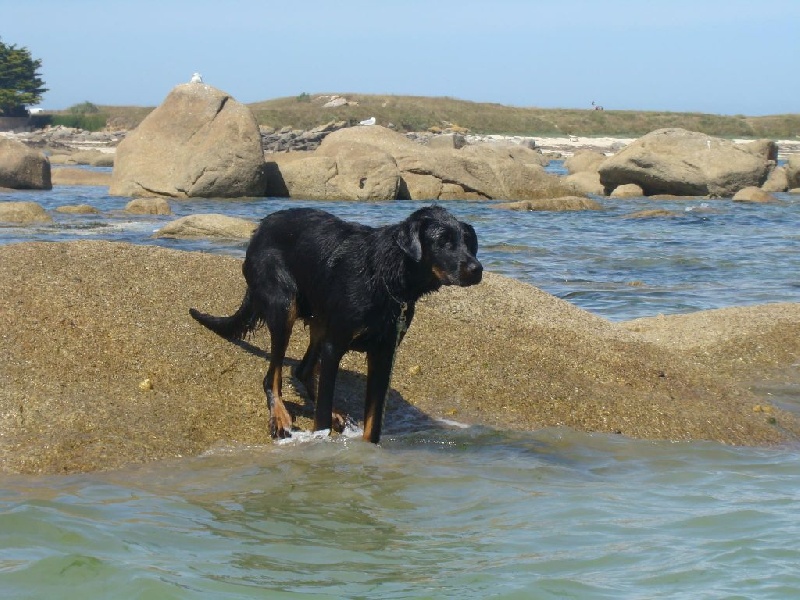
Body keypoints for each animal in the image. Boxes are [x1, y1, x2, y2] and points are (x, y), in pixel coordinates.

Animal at [189, 204, 482, 442]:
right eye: (442, 241)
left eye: (469, 242)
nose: (477, 269)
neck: (386, 275)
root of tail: (258, 230)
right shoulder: (335, 345)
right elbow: (320, 419)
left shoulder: (384, 353)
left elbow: (373, 424)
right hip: (284, 304)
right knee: (272, 377)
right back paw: (280, 416)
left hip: (319, 318)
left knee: (303, 371)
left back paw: (333, 412)